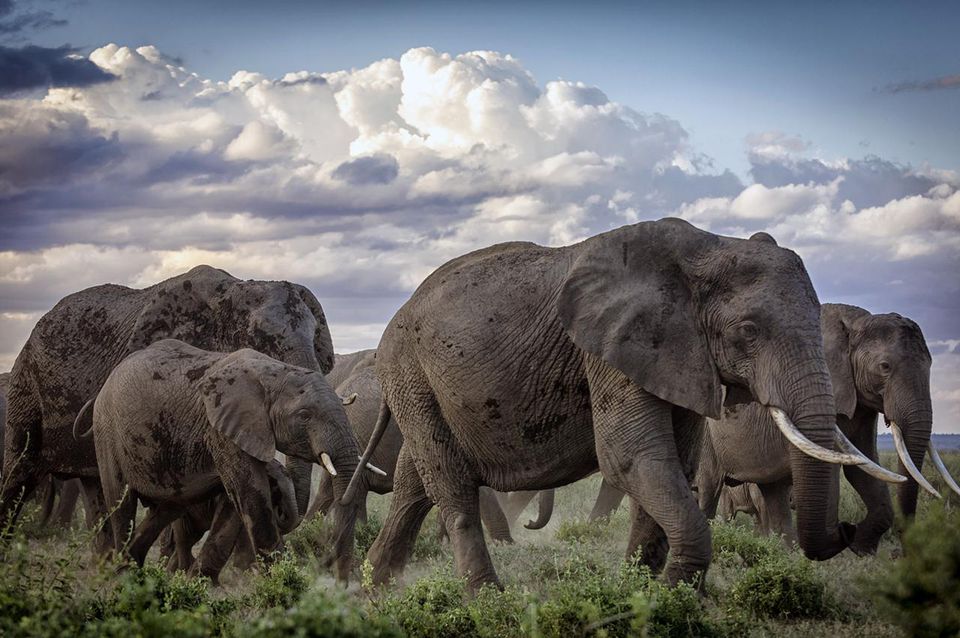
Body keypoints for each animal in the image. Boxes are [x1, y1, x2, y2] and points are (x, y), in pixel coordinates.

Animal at [0, 264, 338, 540]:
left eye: (316, 336)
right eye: (262, 341)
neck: (232, 291)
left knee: (96, 491)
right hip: (26, 384)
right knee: (19, 472)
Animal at [86, 340, 362, 580]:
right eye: (304, 415)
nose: (341, 582)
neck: (274, 372)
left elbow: (235, 504)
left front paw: (199, 582)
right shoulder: (221, 428)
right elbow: (250, 495)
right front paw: (286, 584)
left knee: (166, 509)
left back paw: (132, 569)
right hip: (106, 429)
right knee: (121, 503)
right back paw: (123, 577)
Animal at [346, 221, 908, 596]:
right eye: (749, 331)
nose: (847, 532)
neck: (705, 250)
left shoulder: (680, 356)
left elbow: (673, 462)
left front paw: (640, 588)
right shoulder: (609, 347)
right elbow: (631, 456)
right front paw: (673, 592)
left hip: (419, 382)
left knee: (417, 480)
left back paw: (371, 587)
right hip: (410, 370)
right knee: (450, 482)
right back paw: (485, 599)